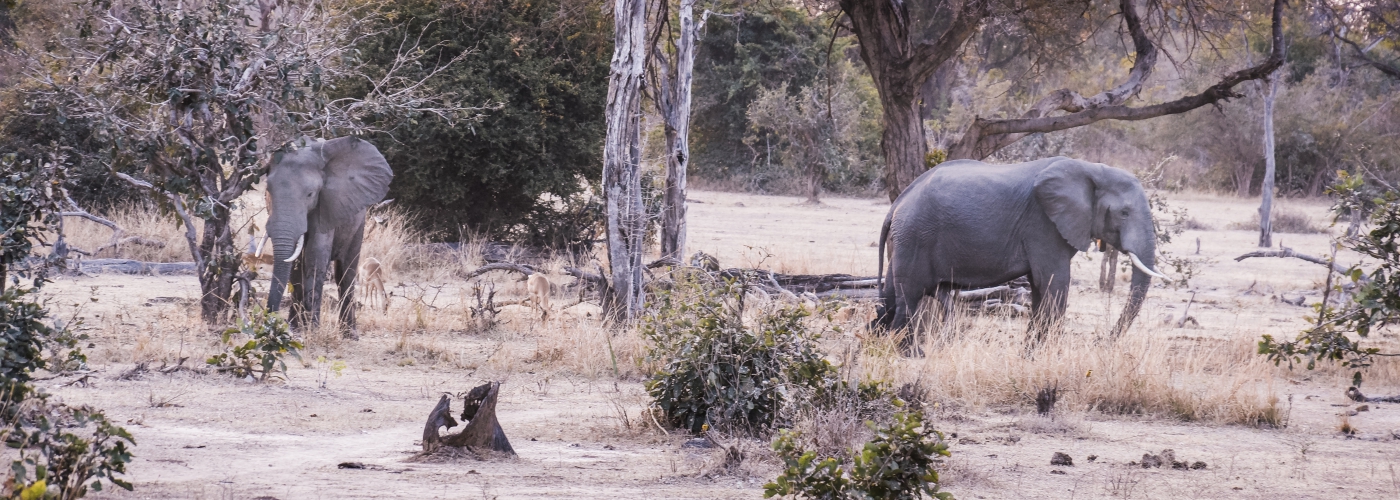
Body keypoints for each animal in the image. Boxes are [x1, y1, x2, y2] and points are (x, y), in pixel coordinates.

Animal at [264, 136, 394, 333]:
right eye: (268, 191)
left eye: (310, 194)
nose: (270, 320)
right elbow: (295, 267)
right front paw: (296, 330)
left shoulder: (326, 205)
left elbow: (315, 257)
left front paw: (312, 331)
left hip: (358, 222)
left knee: (346, 273)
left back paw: (349, 334)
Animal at [873, 155, 1170, 350]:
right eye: (1124, 213)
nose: (1102, 341)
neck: (1093, 169)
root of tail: (897, 203)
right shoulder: (1043, 224)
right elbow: (1054, 282)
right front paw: (1047, 356)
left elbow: (1040, 288)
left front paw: (1031, 356)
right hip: (915, 236)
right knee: (908, 298)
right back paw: (910, 353)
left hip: (903, 241)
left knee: (890, 296)